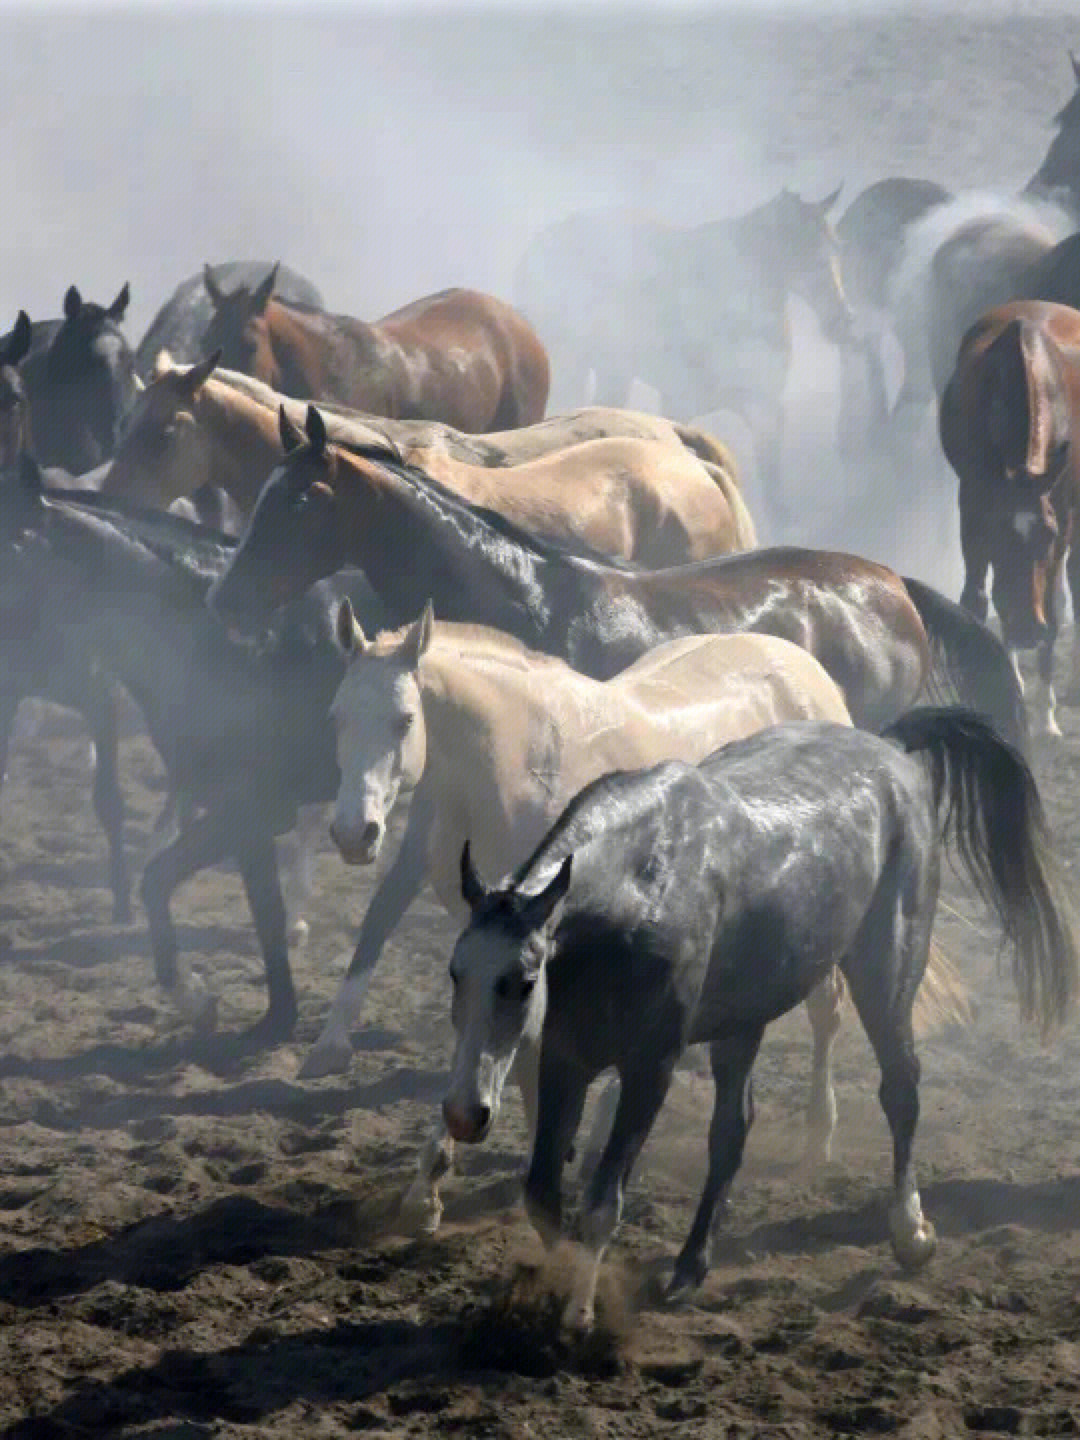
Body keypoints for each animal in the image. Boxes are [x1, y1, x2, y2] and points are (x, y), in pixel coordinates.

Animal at [321, 607, 973, 1238]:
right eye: (336, 715)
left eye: (405, 719)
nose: (354, 834)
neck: (519, 757)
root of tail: (816, 682)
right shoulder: (489, 940)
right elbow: (485, 1041)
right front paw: (430, 1186)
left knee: (826, 1010)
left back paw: (819, 1135)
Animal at [938, 300, 1080, 731]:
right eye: (995, 534)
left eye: (1047, 533)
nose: (1025, 629)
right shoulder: (973, 507)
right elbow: (978, 600)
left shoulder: (1061, 512)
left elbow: (1052, 607)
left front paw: (1048, 719)